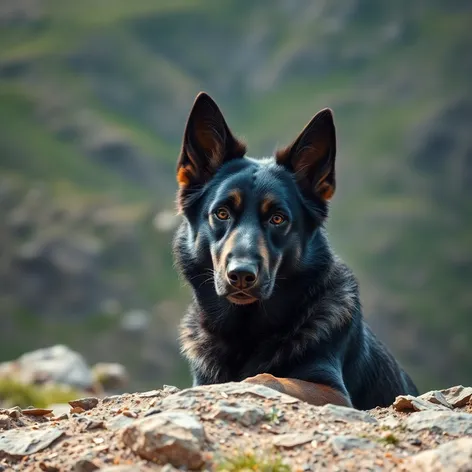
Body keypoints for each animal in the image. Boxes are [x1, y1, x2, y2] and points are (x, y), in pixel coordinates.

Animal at [172, 92, 416, 410]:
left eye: (278, 219)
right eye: (222, 213)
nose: (241, 275)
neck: (246, 333)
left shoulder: (333, 391)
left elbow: (267, 378)